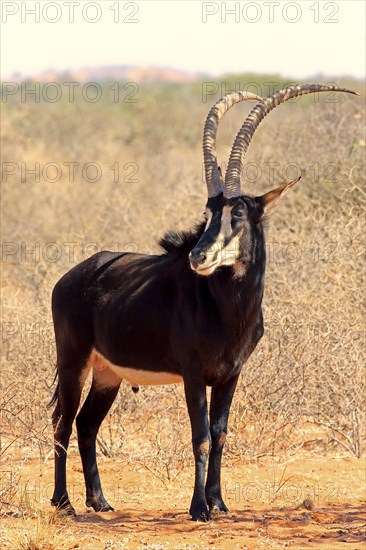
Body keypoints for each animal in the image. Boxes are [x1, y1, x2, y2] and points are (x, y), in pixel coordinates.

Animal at [50, 85, 356, 520]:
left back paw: (100, 501)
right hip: (73, 361)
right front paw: (198, 508)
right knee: (63, 422)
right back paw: (64, 502)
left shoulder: (231, 375)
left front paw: (219, 502)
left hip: (108, 372)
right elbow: (200, 435)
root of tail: (71, 277)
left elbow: (221, 432)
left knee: (87, 423)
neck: (227, 310)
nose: (199, 256)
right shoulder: (193, 373)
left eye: (239, 212)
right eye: (209, 212)